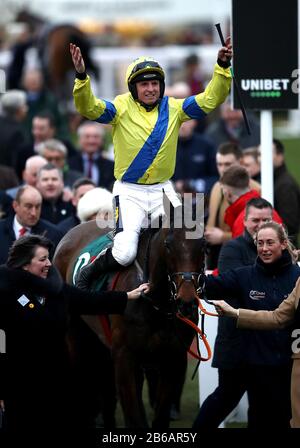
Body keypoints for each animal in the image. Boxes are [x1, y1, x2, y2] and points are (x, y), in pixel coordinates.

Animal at [54, 200, 206, 428]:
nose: (186, 301)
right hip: (75, 336)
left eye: (203, 244)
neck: (156, 305)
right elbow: (134, 417)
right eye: (168, 244)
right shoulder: (124, 356)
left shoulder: (173, 357)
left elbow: (159, 417)